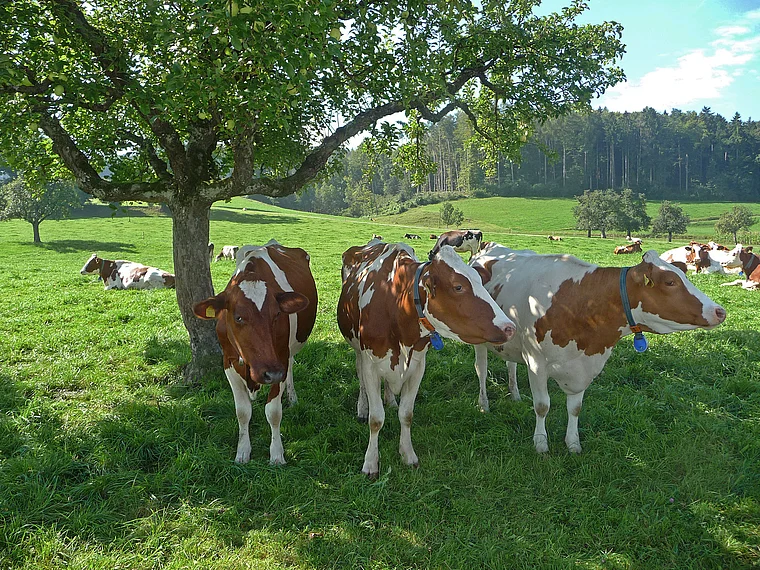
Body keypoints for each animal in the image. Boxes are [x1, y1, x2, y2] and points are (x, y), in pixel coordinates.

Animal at [192, 239, 318, 464]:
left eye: (277, 314)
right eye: (238, 317)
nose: (271, 373)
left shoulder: (280, 360)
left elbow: (273, 412)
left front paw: (276, 454)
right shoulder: (228, 361)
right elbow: (242, 411)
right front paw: (242, 451)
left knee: (291, 367)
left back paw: (292, 397)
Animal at [337, 242, 516, 478]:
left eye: (480, 281)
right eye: (458, 287)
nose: (510, 328)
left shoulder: (418, 366)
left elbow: (406, 414)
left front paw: (408, 454)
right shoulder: (371, 364)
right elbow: (376, 419)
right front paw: (370, 463)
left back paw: (390, 400)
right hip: (358, 349)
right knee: (360, 378)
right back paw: (362, 407)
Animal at [469, 243, 726, 454]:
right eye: (670, 282)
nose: (720, 311)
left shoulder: (584, 366)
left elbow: (575, 408)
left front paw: (573, 443)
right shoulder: (536, 363)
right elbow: (542, 406)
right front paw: (540, 443)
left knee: (510, 364)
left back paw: (514, 395)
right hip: (481, 342)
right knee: (480, 369)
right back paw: (483, 405)